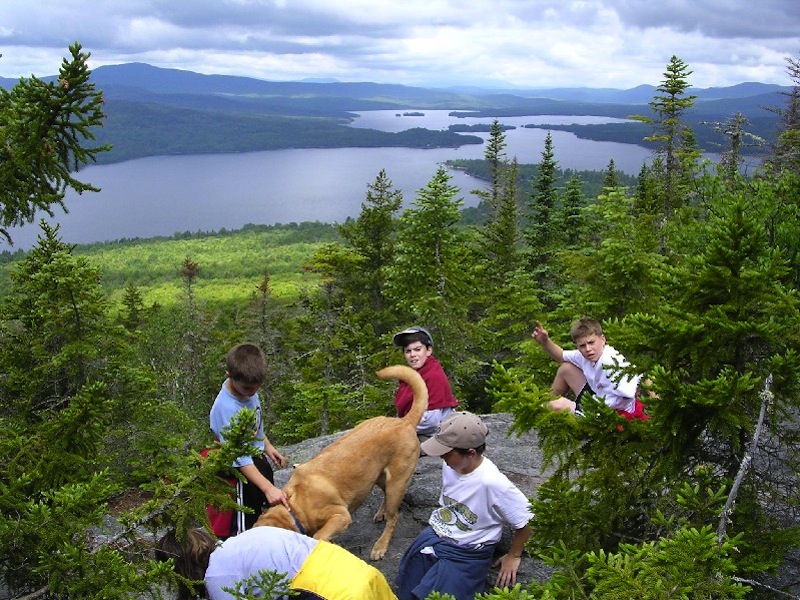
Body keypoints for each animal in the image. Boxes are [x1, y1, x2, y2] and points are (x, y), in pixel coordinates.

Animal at [255, 364, 428, 560]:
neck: (295, 506)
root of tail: (404, 421)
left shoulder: (340, 515)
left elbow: (319, 535)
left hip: (397, 483)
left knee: (393, 518)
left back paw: (380, 546)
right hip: (378, 477)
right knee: (385, 496)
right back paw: (381, 513)